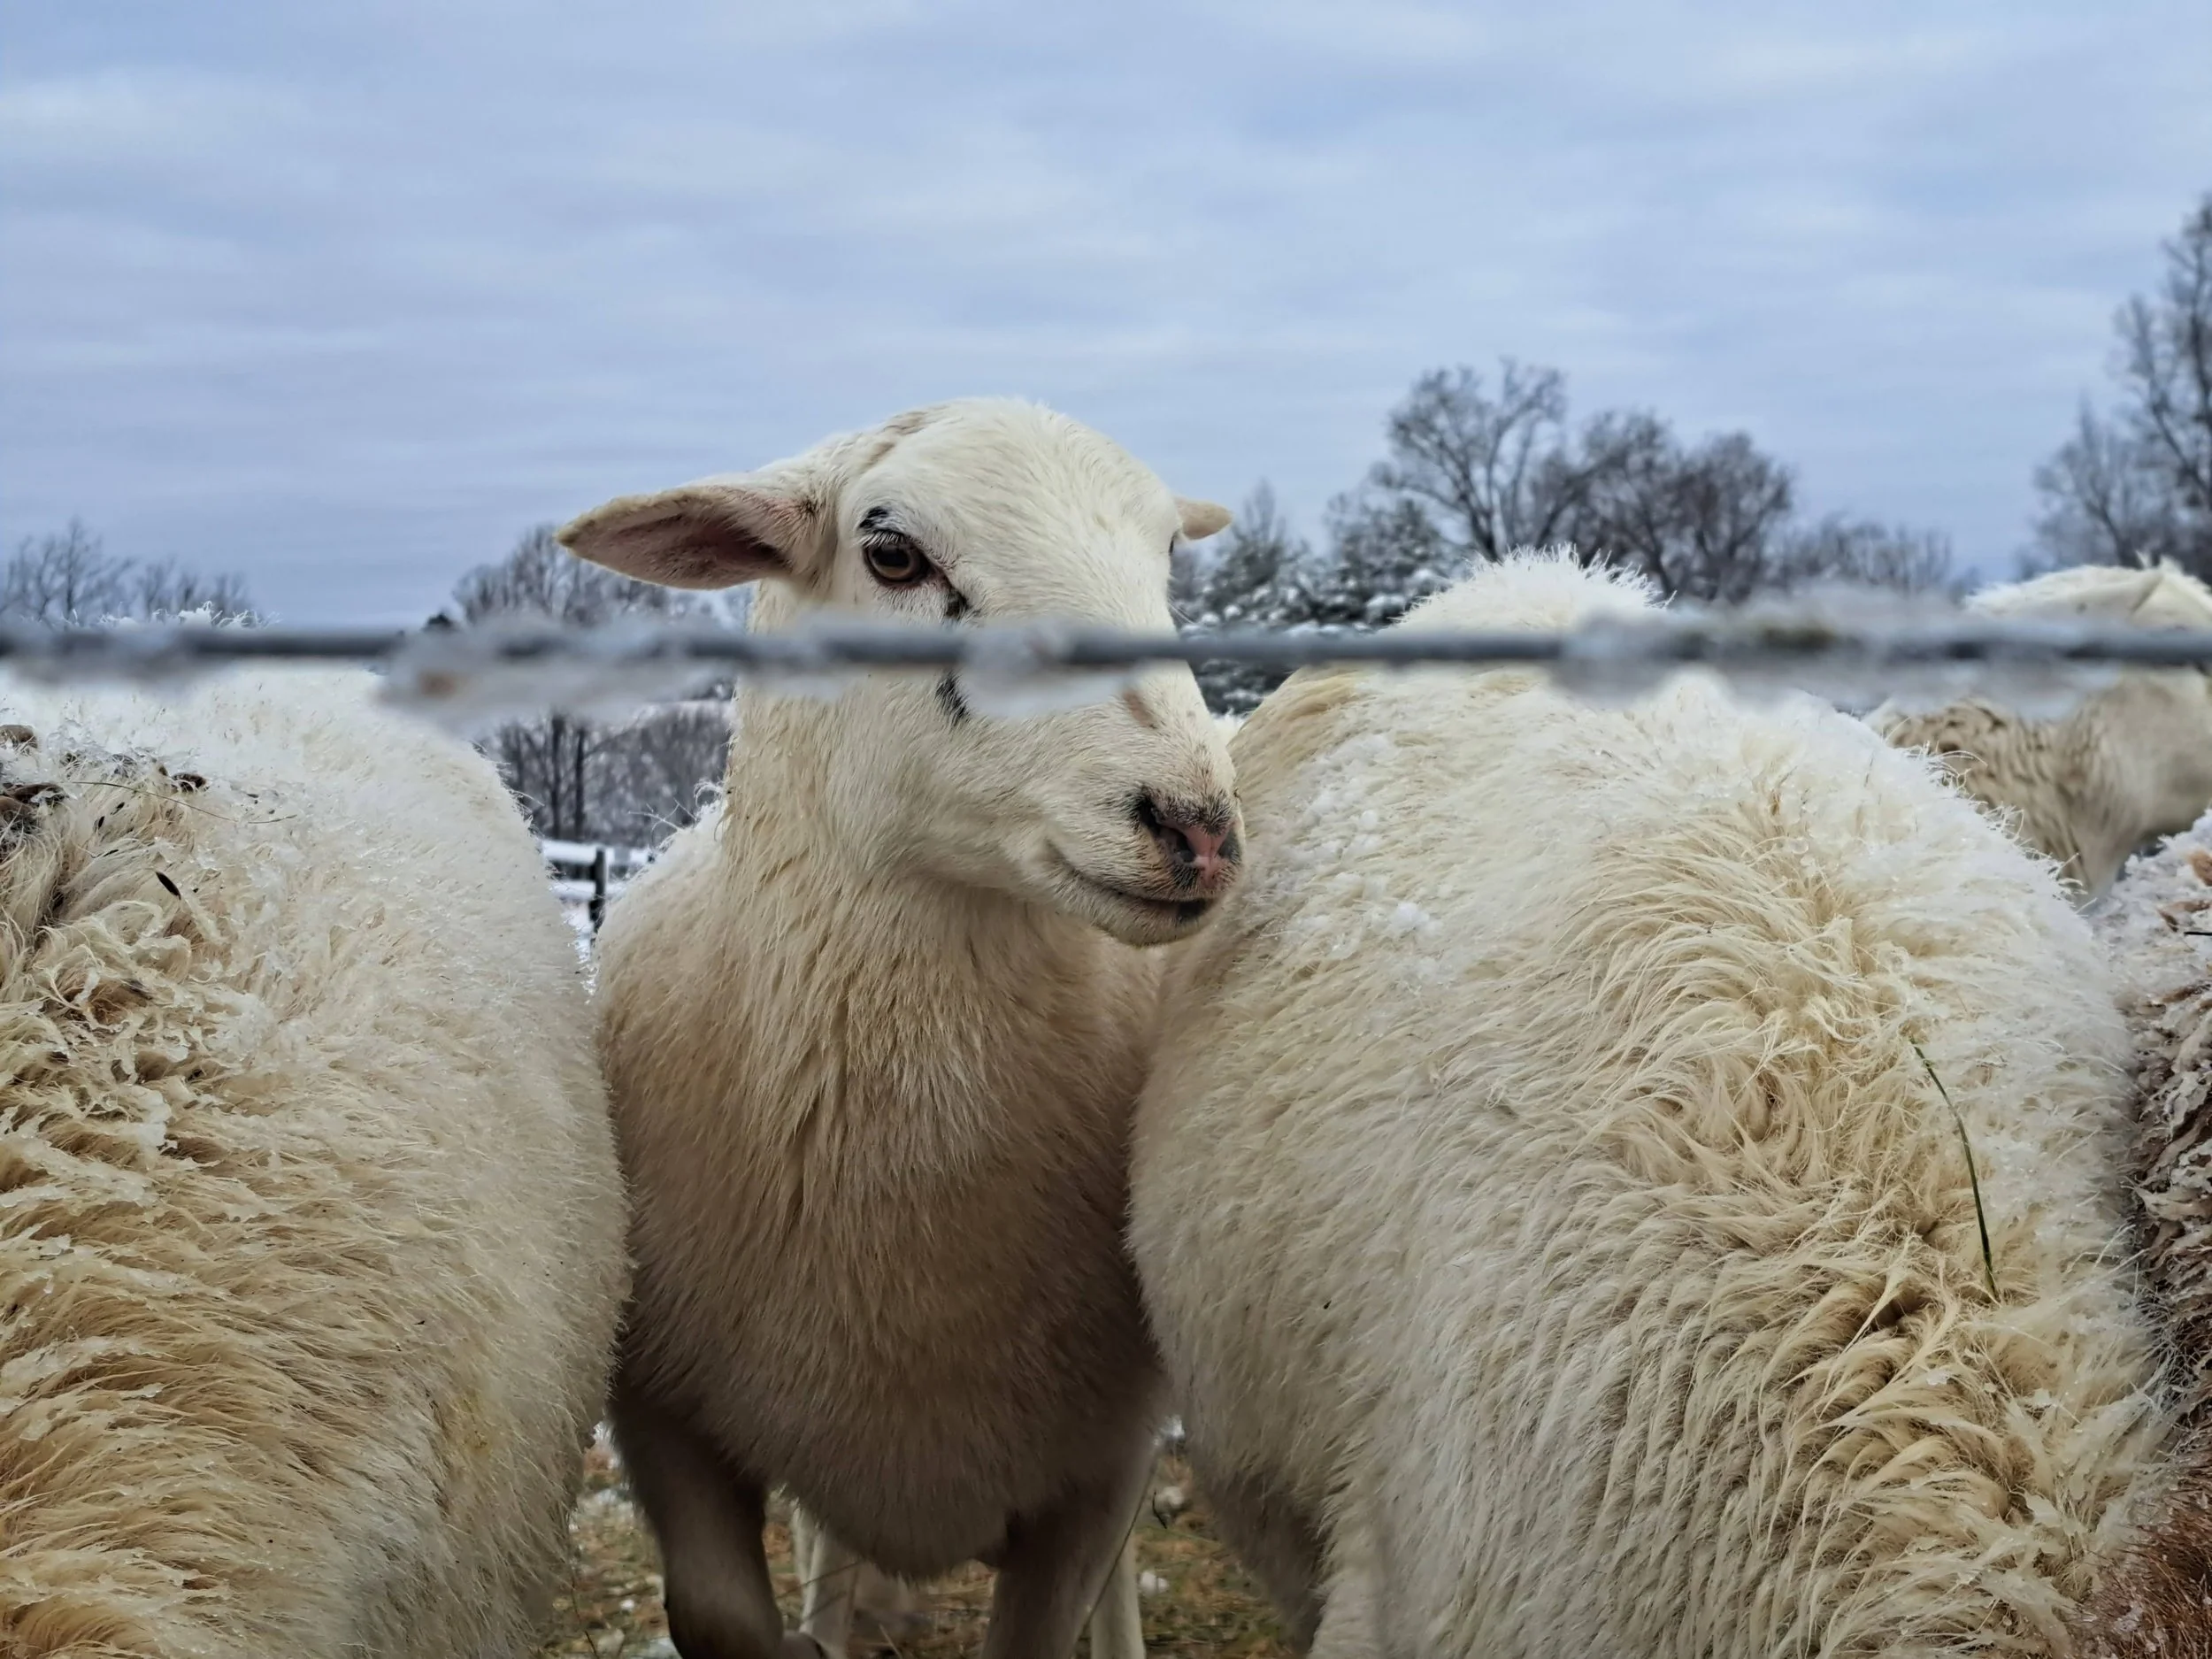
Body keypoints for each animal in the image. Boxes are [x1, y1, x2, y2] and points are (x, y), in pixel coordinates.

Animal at [559, 397, 1241, 1659]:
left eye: (1168, 551)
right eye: (891, 555)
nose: (1197, 826)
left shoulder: (1100, 1463)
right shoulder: (667, 1420)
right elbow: (722, 1613)